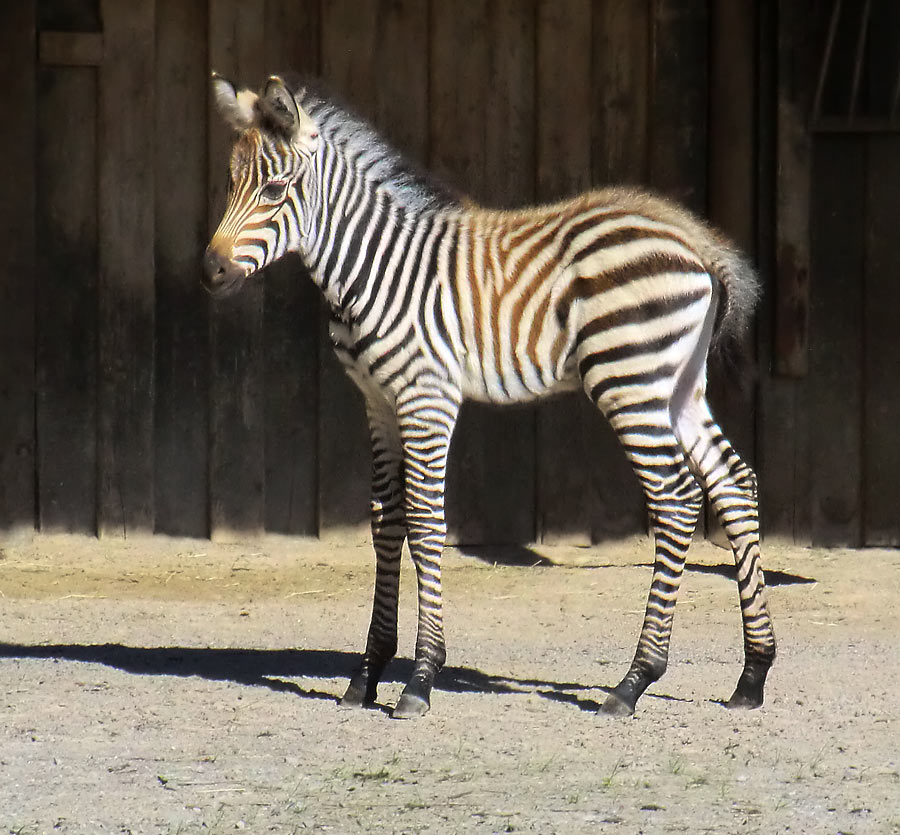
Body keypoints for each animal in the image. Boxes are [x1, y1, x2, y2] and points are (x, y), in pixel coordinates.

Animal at [202, 75, 772, 720]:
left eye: (276, 189)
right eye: (230, 183)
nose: (211, 271)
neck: (374, 265)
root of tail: (693, 240)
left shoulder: (425, 395)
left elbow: (426, 521)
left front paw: (421, 677)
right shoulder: (377, 401)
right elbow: (386, 520)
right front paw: (368, 672)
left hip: (629, 379)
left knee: (676, 498)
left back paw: (633, 682)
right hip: (678, 384)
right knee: (734, 482)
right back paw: (752, 675)